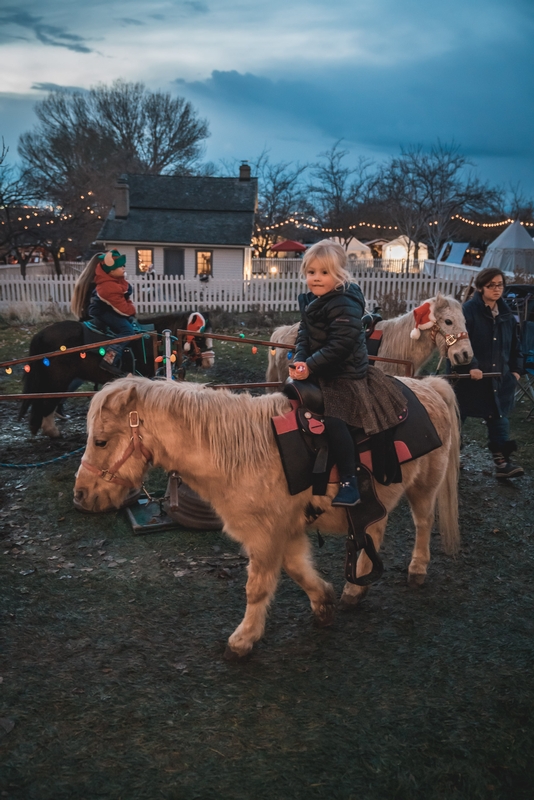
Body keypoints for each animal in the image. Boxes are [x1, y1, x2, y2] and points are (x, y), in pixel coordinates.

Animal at [73, 378, 462, 660]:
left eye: (101, 441)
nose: (80, 495)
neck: (239, 454)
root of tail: (428, 385)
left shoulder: (265, 535)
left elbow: (257, 588)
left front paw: (243, 640)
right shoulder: (283, 533)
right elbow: (298, 571)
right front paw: (324, 603)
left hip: (425, 486)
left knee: (423, 524)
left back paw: (416, 570)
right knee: (374, 530)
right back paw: (355, 589)